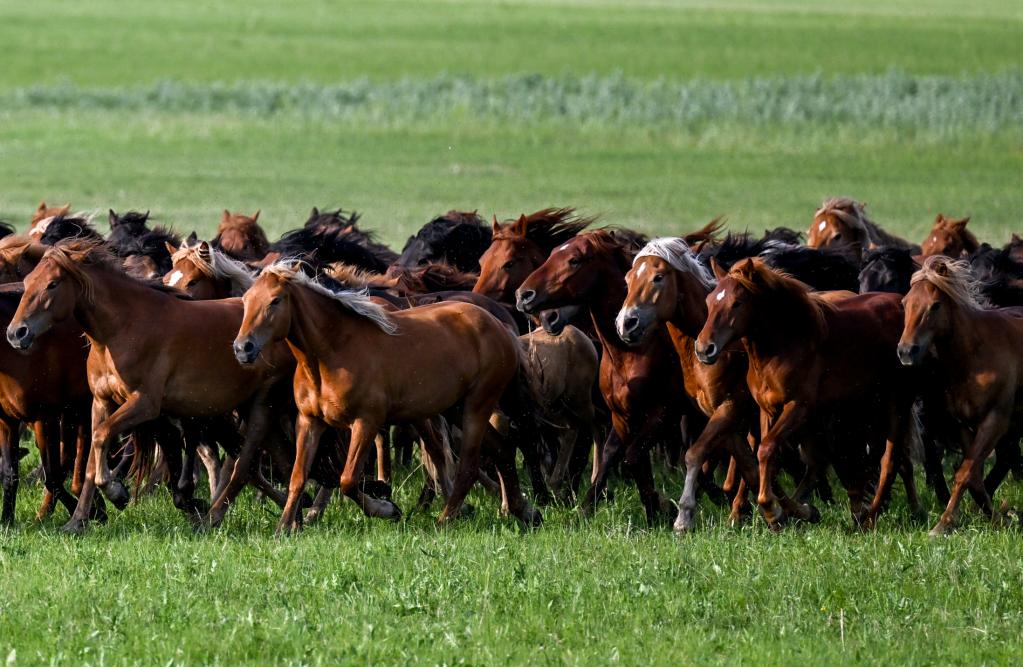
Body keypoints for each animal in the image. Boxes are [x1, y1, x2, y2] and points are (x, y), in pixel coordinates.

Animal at [7, 239, 296, 531]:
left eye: (52, 284)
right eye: (28, 281)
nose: (16, 333)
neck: (122, 328)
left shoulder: (144, 404)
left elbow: (102, 437)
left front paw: (116, 492)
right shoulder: (100, 402)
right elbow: (92, 458)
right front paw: (77, 521)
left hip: (263, 405)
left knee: (251, 460)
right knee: (274, 460)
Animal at [695, 257, 920, 527]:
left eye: (737, 302)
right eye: (709, 302)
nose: (704, 348)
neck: (785, 345)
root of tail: (900, 304)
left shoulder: (798, 407)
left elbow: (767, 450)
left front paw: (771, 510)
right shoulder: (767, 411)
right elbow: (768, 458)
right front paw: (795, 511)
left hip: (895, 404)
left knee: (889, 460)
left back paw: (871, 517)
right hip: (866, 408)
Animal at [896, 255, 1023, 536]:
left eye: (935, 305)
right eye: (905, 303)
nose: (906, 351)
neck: (975, 356)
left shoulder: (995, 421)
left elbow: (965, 472)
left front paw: (943, 523)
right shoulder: (963, 424)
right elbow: (972, 474)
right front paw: (995, 517)